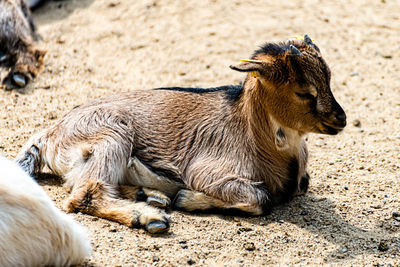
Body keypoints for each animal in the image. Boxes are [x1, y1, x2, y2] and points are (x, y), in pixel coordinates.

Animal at [16, 36, 346, 234]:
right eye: (304, 92)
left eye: (329, 79)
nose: (340, 119)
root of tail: (48, 136)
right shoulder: (208, 172)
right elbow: (261, 197)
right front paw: (187, 198)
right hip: (111, 136)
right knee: (84, 194)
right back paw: (150, 216)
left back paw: (149, 196)